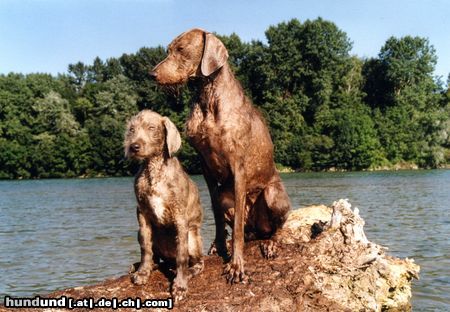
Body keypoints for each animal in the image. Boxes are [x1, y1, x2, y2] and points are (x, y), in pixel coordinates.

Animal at [124, 109, 203, 300]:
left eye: (151, 128)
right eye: (132, 130)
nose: (133, 147)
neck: (154, 169)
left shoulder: (180, 216)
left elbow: (182, 255)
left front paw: (180, 286)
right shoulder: (142, 213)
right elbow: (145, 249)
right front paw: (143, 272)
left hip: (193, 237)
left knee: (198, 262)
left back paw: (189, 272)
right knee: (157, 257)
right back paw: (144, 266)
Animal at [151, 28, 292, 282]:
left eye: (181, 49)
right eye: (168, 49)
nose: (152, 74)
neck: (208, 98)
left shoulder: (238, 165)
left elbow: (236, 230)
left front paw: (236, 265)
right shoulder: (206, 167)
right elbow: (216, 214)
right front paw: (218, 246)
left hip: (273, 194)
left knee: (274, 228)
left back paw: (271, 244)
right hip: (229, 199)